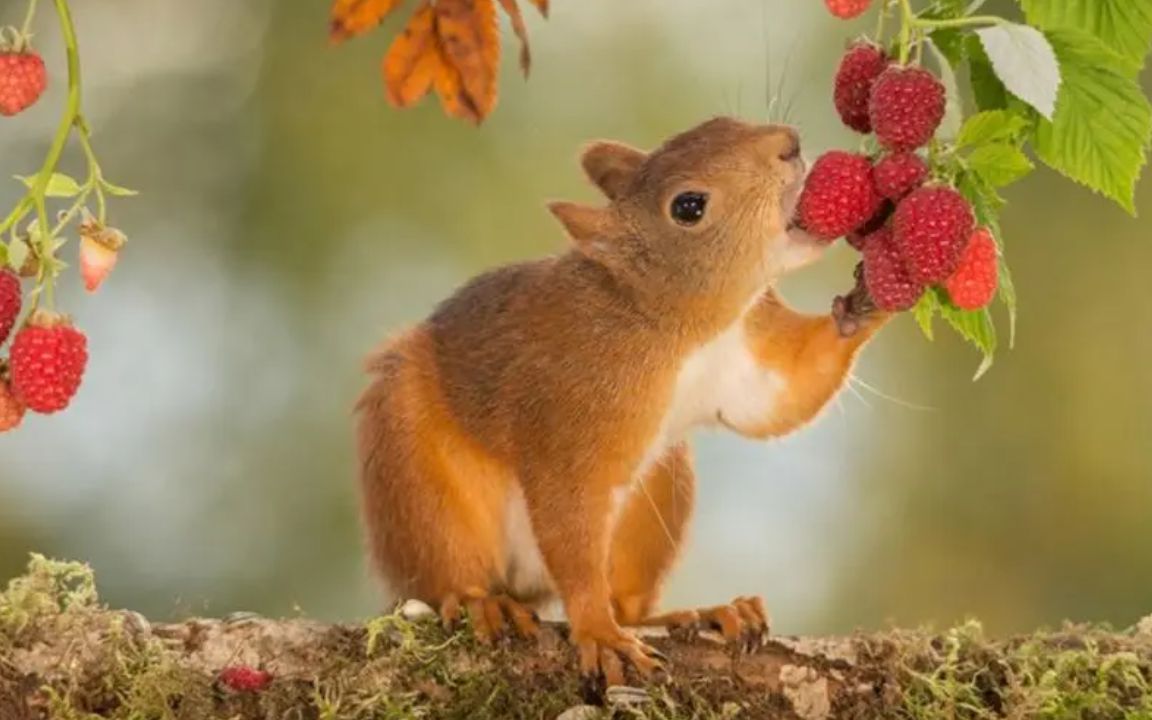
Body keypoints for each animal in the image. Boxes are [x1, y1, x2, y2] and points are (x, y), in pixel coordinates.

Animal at [354, 115, 884, 681]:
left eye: (721, 122)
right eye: (688, 206)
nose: (788, 144)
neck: (678, 328)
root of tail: (526, 586)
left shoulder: (745, 357)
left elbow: (786, 393)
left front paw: (871, 296)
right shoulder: (570, 409)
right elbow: (570, 518)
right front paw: (597, 632)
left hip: (659, 493)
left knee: (629, 603)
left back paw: (708, 612)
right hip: (415, 477)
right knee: (445, 572)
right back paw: (483, 601)